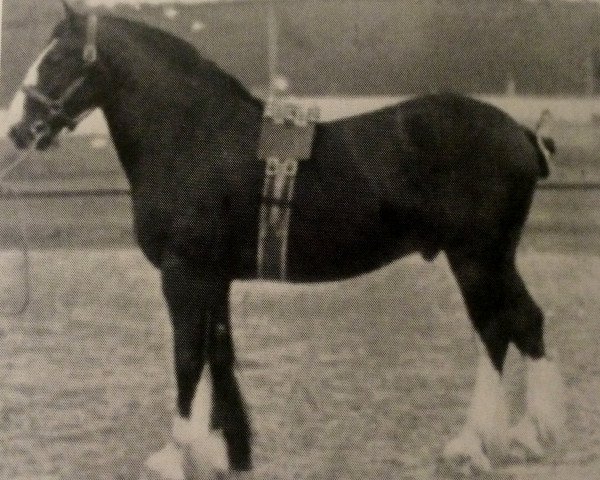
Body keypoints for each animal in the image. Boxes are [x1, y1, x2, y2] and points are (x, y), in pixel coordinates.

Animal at [7, 4, 564, 480]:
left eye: (56, 58)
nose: (16, 130)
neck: (194, 136)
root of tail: (521, 132)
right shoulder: (213, 277)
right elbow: (218, 353)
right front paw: (223, 452)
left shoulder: (184, 272)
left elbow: (186, 356)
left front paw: (172, 456)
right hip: (495, 256)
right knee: (527, 320)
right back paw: (529, 437)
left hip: (476, 257)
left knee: (495, 329)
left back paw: (472, 445)